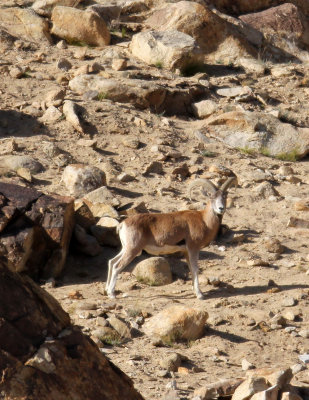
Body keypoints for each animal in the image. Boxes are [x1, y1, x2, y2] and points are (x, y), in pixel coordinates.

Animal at [106, 177, 236, 298]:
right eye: (211, 197)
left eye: (224, 197)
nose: (221, 208)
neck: (204, 220)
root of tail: (122, 224)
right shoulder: (193, 249)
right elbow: (195, 269)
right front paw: (200, 295)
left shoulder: (186, 252)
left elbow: (191, 269)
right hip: (132, 250)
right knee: (117, 266)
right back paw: (112, 294)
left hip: (126, 249)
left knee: (112, 262)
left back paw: (107, 290)